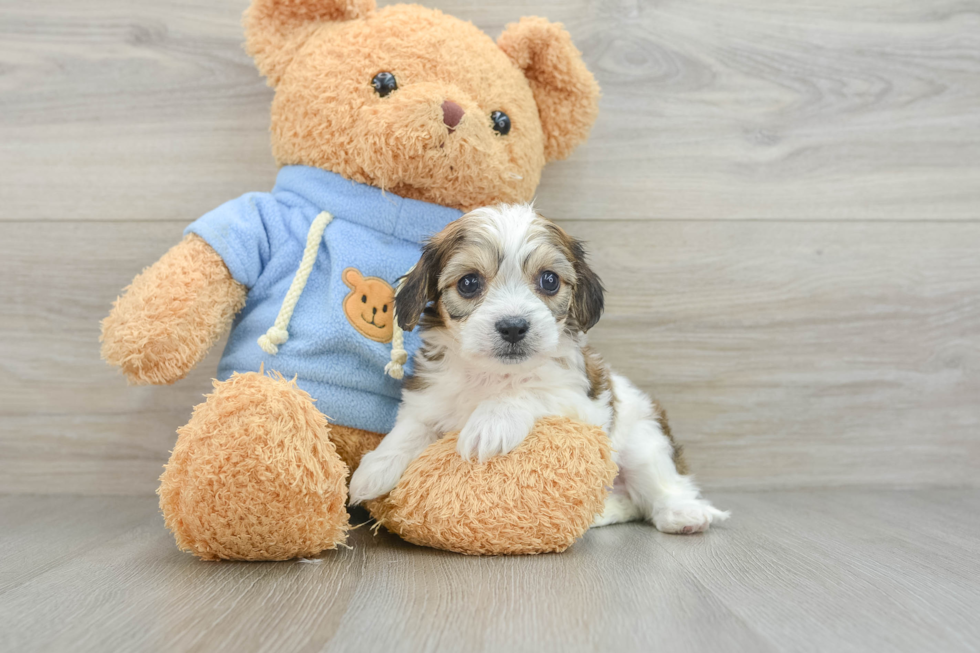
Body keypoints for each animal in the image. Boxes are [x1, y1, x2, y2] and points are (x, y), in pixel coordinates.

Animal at [346, 205, 728, 536]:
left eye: (549, 280)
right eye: (469, 283)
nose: (514, 327)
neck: (492, 374)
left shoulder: (580, 401)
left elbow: (530, 389)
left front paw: (491, 423)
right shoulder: (430, 397)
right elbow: (411, 427)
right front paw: (375, 468)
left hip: (643, 440)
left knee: (662, 484)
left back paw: (684, 513)